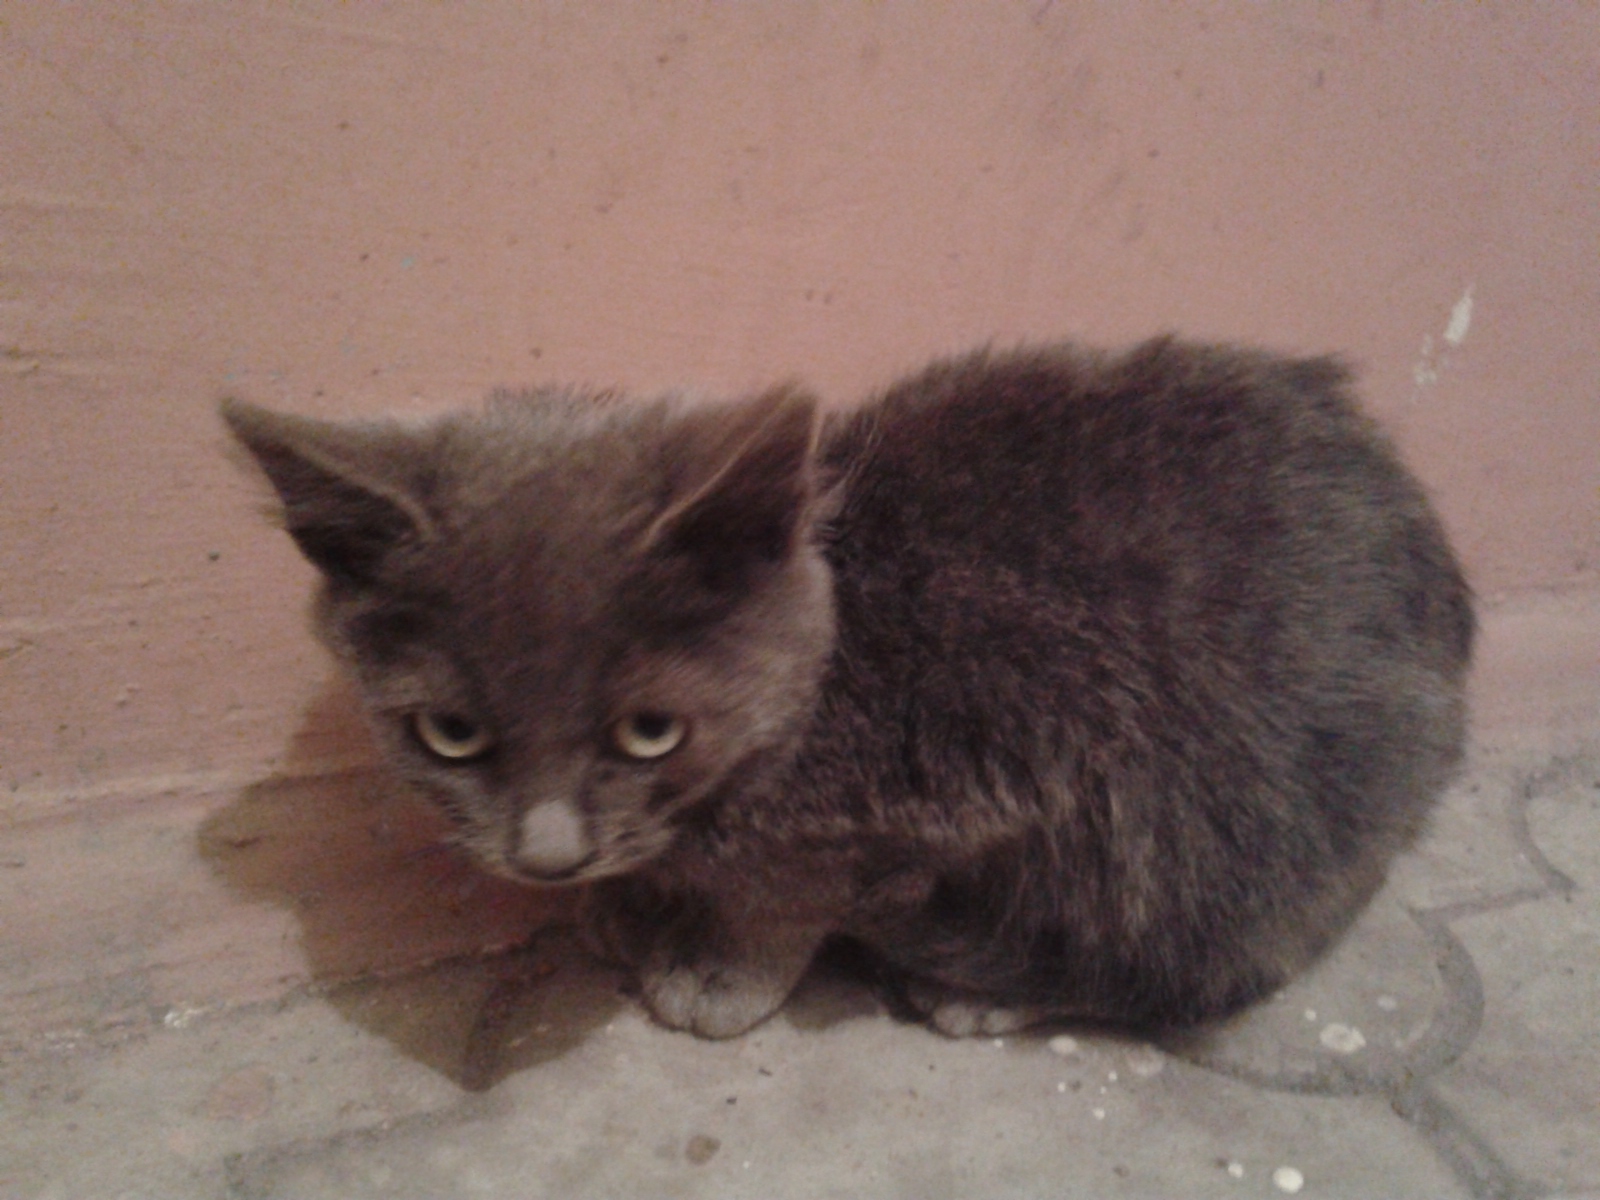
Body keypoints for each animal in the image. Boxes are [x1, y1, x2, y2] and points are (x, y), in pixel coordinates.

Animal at [223, 336, 1474, 1040]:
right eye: (448, 733)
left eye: (648, 731)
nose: (547, 858)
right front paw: (634, 905)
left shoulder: (925, 797)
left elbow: (781, 905)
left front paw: (717, 975)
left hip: (1217, 820)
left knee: (1209, 956)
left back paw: (998, 989)